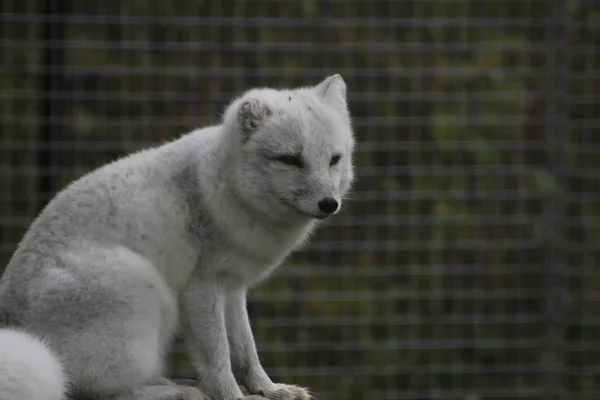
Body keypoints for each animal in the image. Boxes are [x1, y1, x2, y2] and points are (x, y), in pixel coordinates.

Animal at [0, 76, 356, 400]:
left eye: (334, 159)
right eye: (290, 159)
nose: (329, 204)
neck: (225, 186)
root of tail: (11, 317)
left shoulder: (233, 286)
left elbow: (246, 350)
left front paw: (268, 389)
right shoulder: (201, 288)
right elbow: (218, 356)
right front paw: (231, 395)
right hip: (145, 291)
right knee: (96, 388)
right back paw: (178, 392)